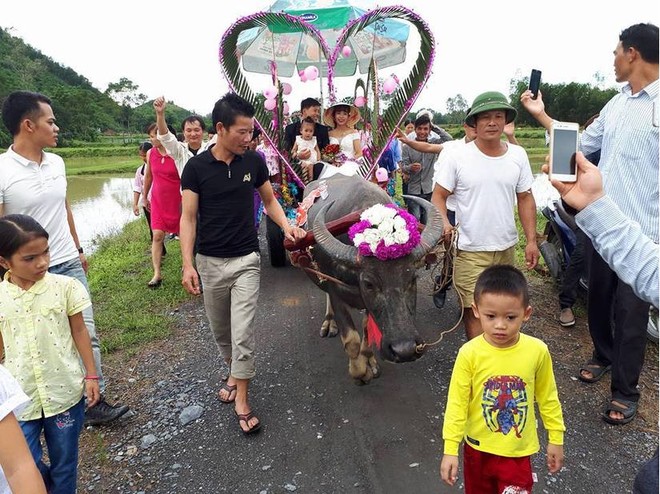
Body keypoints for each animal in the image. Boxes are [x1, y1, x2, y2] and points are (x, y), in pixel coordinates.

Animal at [302, 176, 440, 384]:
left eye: (412, 279)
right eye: (369, 284)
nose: (405, 350)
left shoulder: (369, 306)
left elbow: (367, 331)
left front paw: (370, 361)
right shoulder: (336, 291)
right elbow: (351, 340)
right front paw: (361, 372)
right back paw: (329, 323)